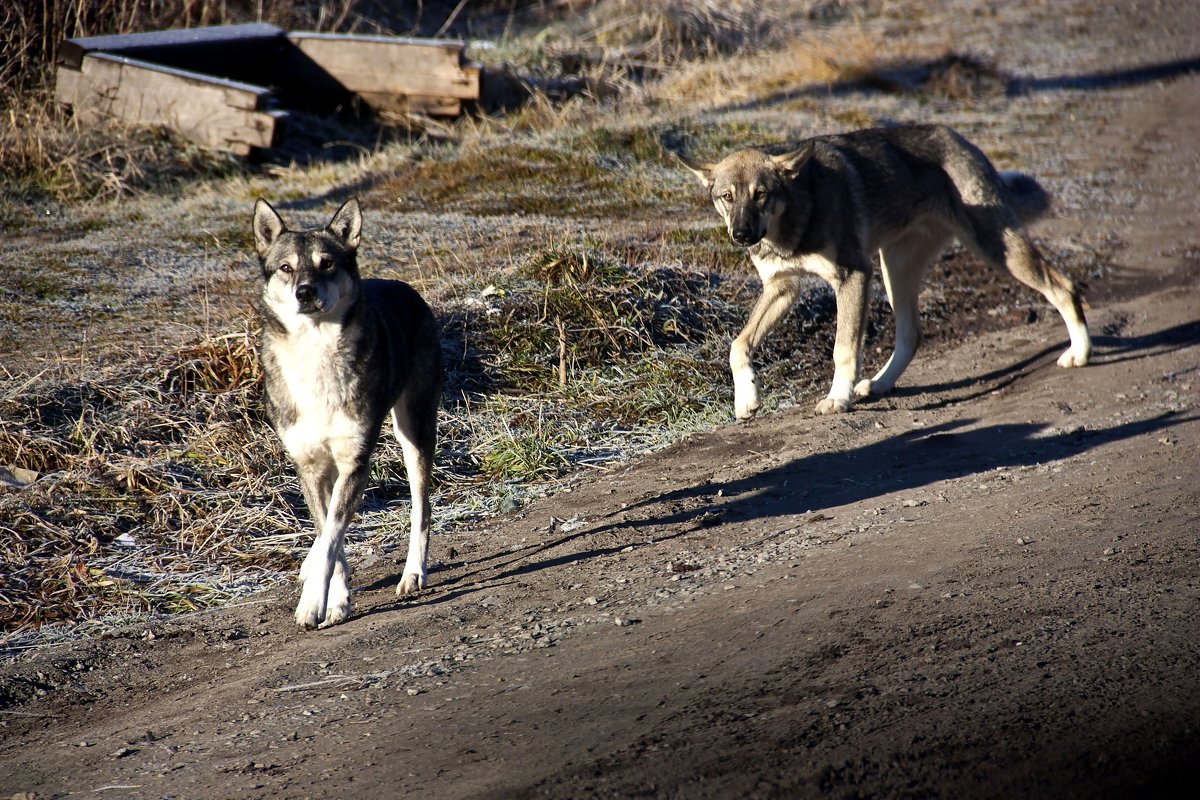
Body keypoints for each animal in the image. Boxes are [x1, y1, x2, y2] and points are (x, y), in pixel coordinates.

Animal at [250, 196, 444, 628]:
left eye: (326, 264)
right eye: (286, 268)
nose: (305, 292)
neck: (315, 354)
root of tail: (404, 287)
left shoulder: (355, 461)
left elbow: (332, 538)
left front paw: (315, 604)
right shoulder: (310, 466)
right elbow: (329, 538)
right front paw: (335, 599)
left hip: (414, 432)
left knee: (421, 511)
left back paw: (413, 574)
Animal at [681, 123, 1094, 419]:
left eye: (760, 194)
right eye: (727, 197)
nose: (741, 235)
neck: (795, 215)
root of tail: (961, 139)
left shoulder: (852, 277)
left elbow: (843, 349)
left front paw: (838, 398)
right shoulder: (782, 289)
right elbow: (738, 345)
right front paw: (746, 399)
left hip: (996, 252)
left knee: (1064, 286)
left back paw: (1079, 354)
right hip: (896, 272)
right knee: (912, 335)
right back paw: (879, 385)